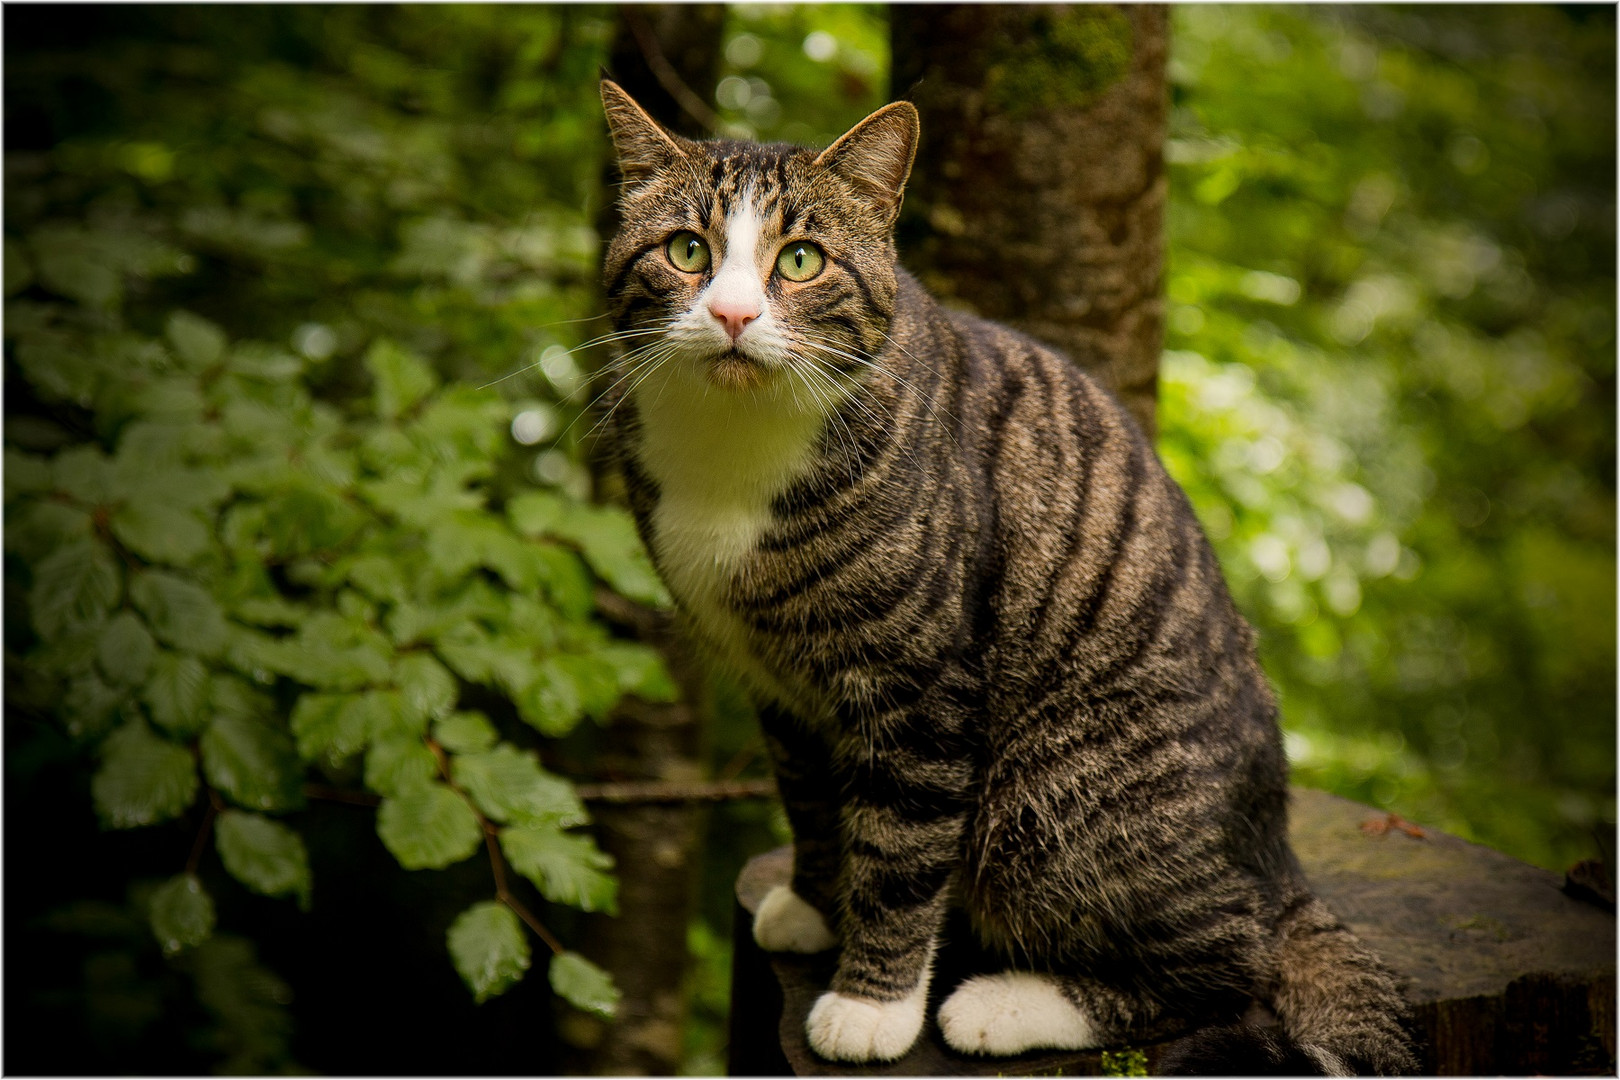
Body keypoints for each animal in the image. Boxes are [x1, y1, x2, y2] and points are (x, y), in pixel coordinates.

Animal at [596, 80, 1419, 1075]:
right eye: (688, 251)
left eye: (799, 261)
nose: (731, 316)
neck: (733, 453)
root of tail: (1279, 852)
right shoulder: (782, 689)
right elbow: (812, 801)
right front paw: (814, 905)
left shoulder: (919, 686)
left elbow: (900, 853)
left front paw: (871, 1007)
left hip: (1052, 799)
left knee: (1230, 972)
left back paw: (1004, 1004)